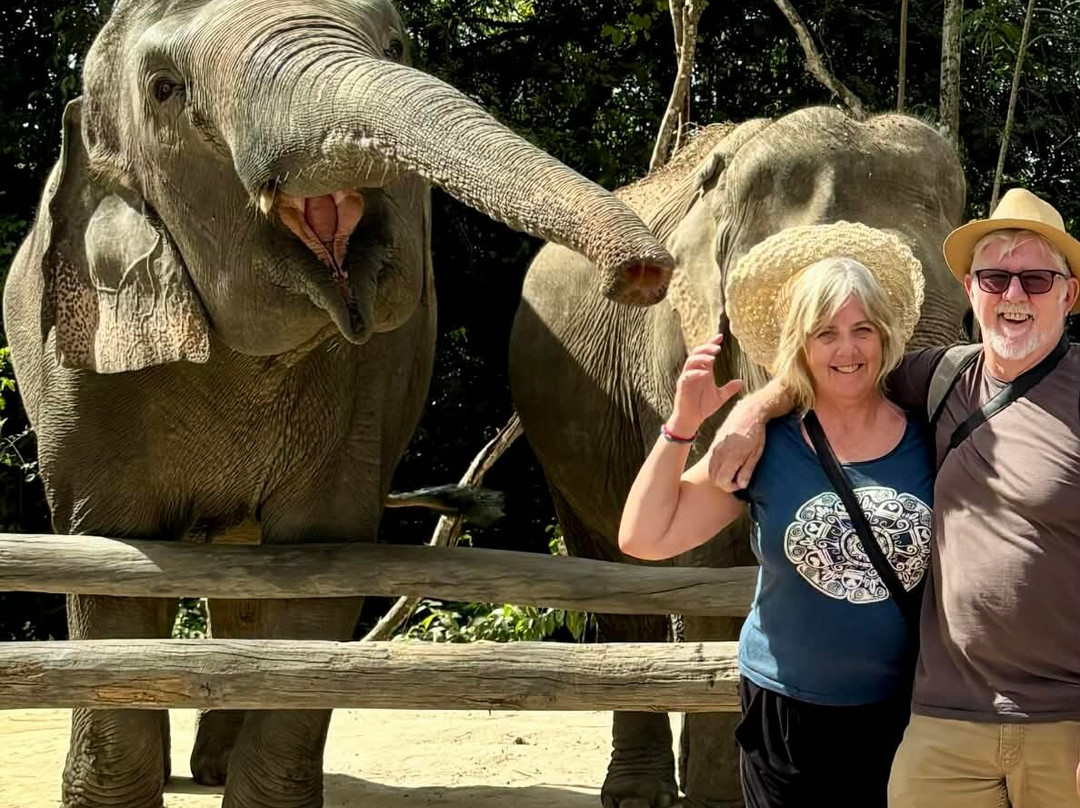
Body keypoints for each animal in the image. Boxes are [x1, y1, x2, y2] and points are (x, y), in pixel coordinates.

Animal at [2, 1, 676, 806]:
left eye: (398, 44)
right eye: (164, 90)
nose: (644, 274)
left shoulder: (367, 390)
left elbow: (319, 570)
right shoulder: (86, 379)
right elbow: (110, 570)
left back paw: (212, 768)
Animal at [508, 106, 971, 808]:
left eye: (970, 314)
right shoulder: (671, 348)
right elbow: (707, 569)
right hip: (558, 443)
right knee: (616, 584)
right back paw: (639, 794)